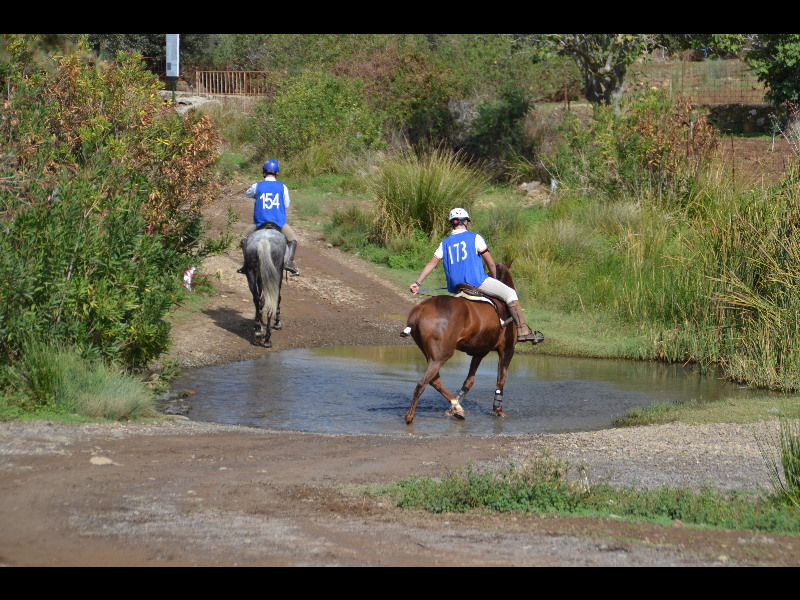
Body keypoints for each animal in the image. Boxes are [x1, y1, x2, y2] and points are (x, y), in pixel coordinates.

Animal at [404, 260, 520, 424]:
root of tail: (422, 308)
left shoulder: (480, 351)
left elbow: (469, 380)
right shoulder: (507, 349)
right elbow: (501, 379)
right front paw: (498, 409)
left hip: (432, 354)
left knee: (434, 380)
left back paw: (457, 407)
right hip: (442, 354)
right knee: (423, 383)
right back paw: (410, 417)